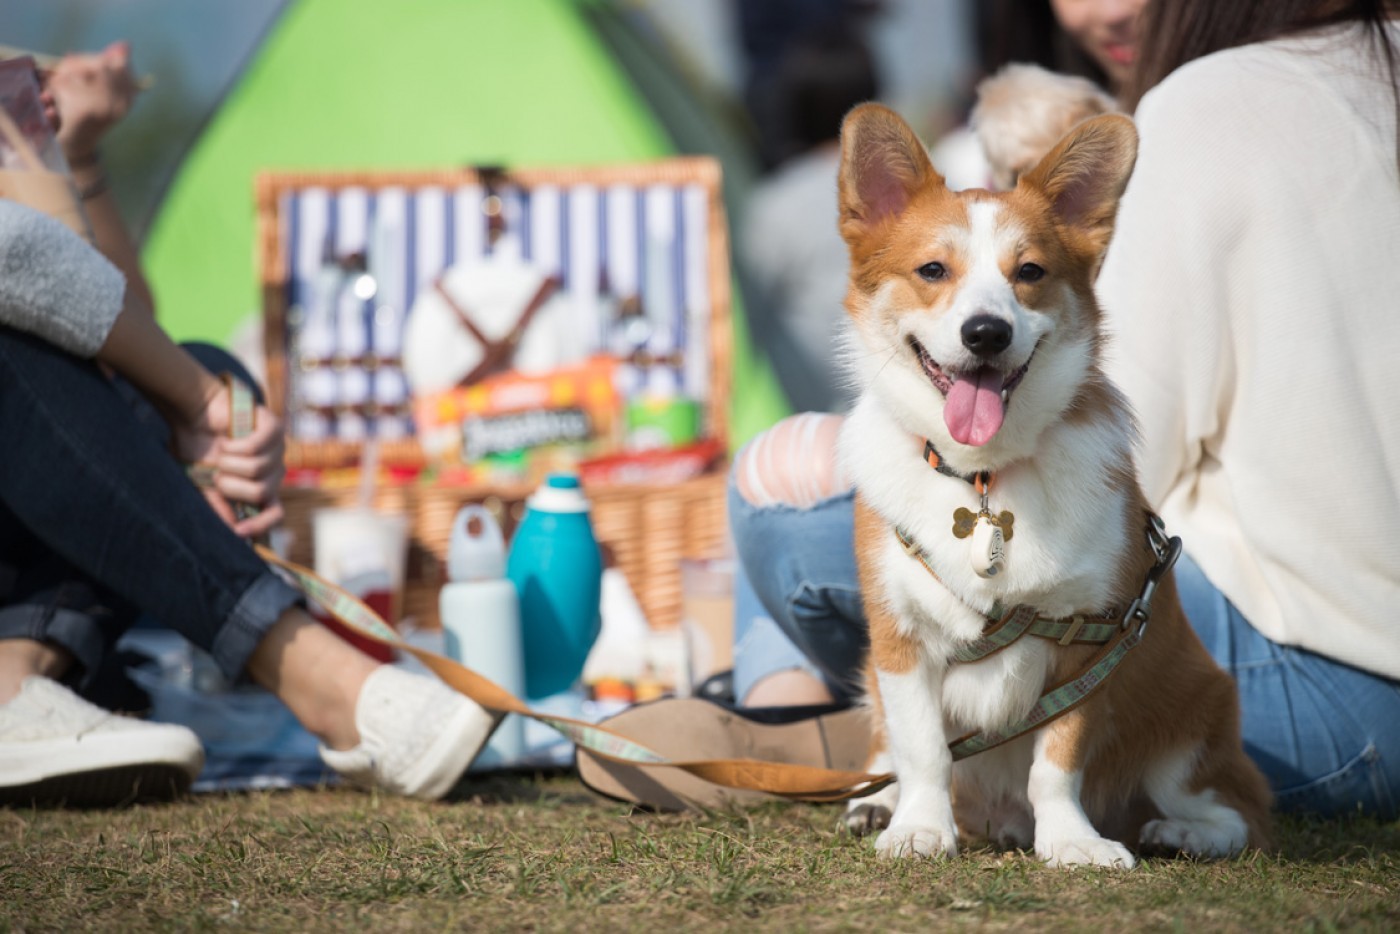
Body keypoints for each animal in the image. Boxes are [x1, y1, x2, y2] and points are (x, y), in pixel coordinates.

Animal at [834, 104, 1276, 868]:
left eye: (1030, 272)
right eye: (932, 270)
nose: (985, 332)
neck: (982, 475)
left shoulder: (1091, 640)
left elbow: (1056, 763)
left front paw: (1072, 842)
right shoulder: (898, 639)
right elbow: (923, 750)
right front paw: (919, 827)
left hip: (1191, 716)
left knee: (1240, 809)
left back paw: (1183, 833)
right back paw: (877, 802)